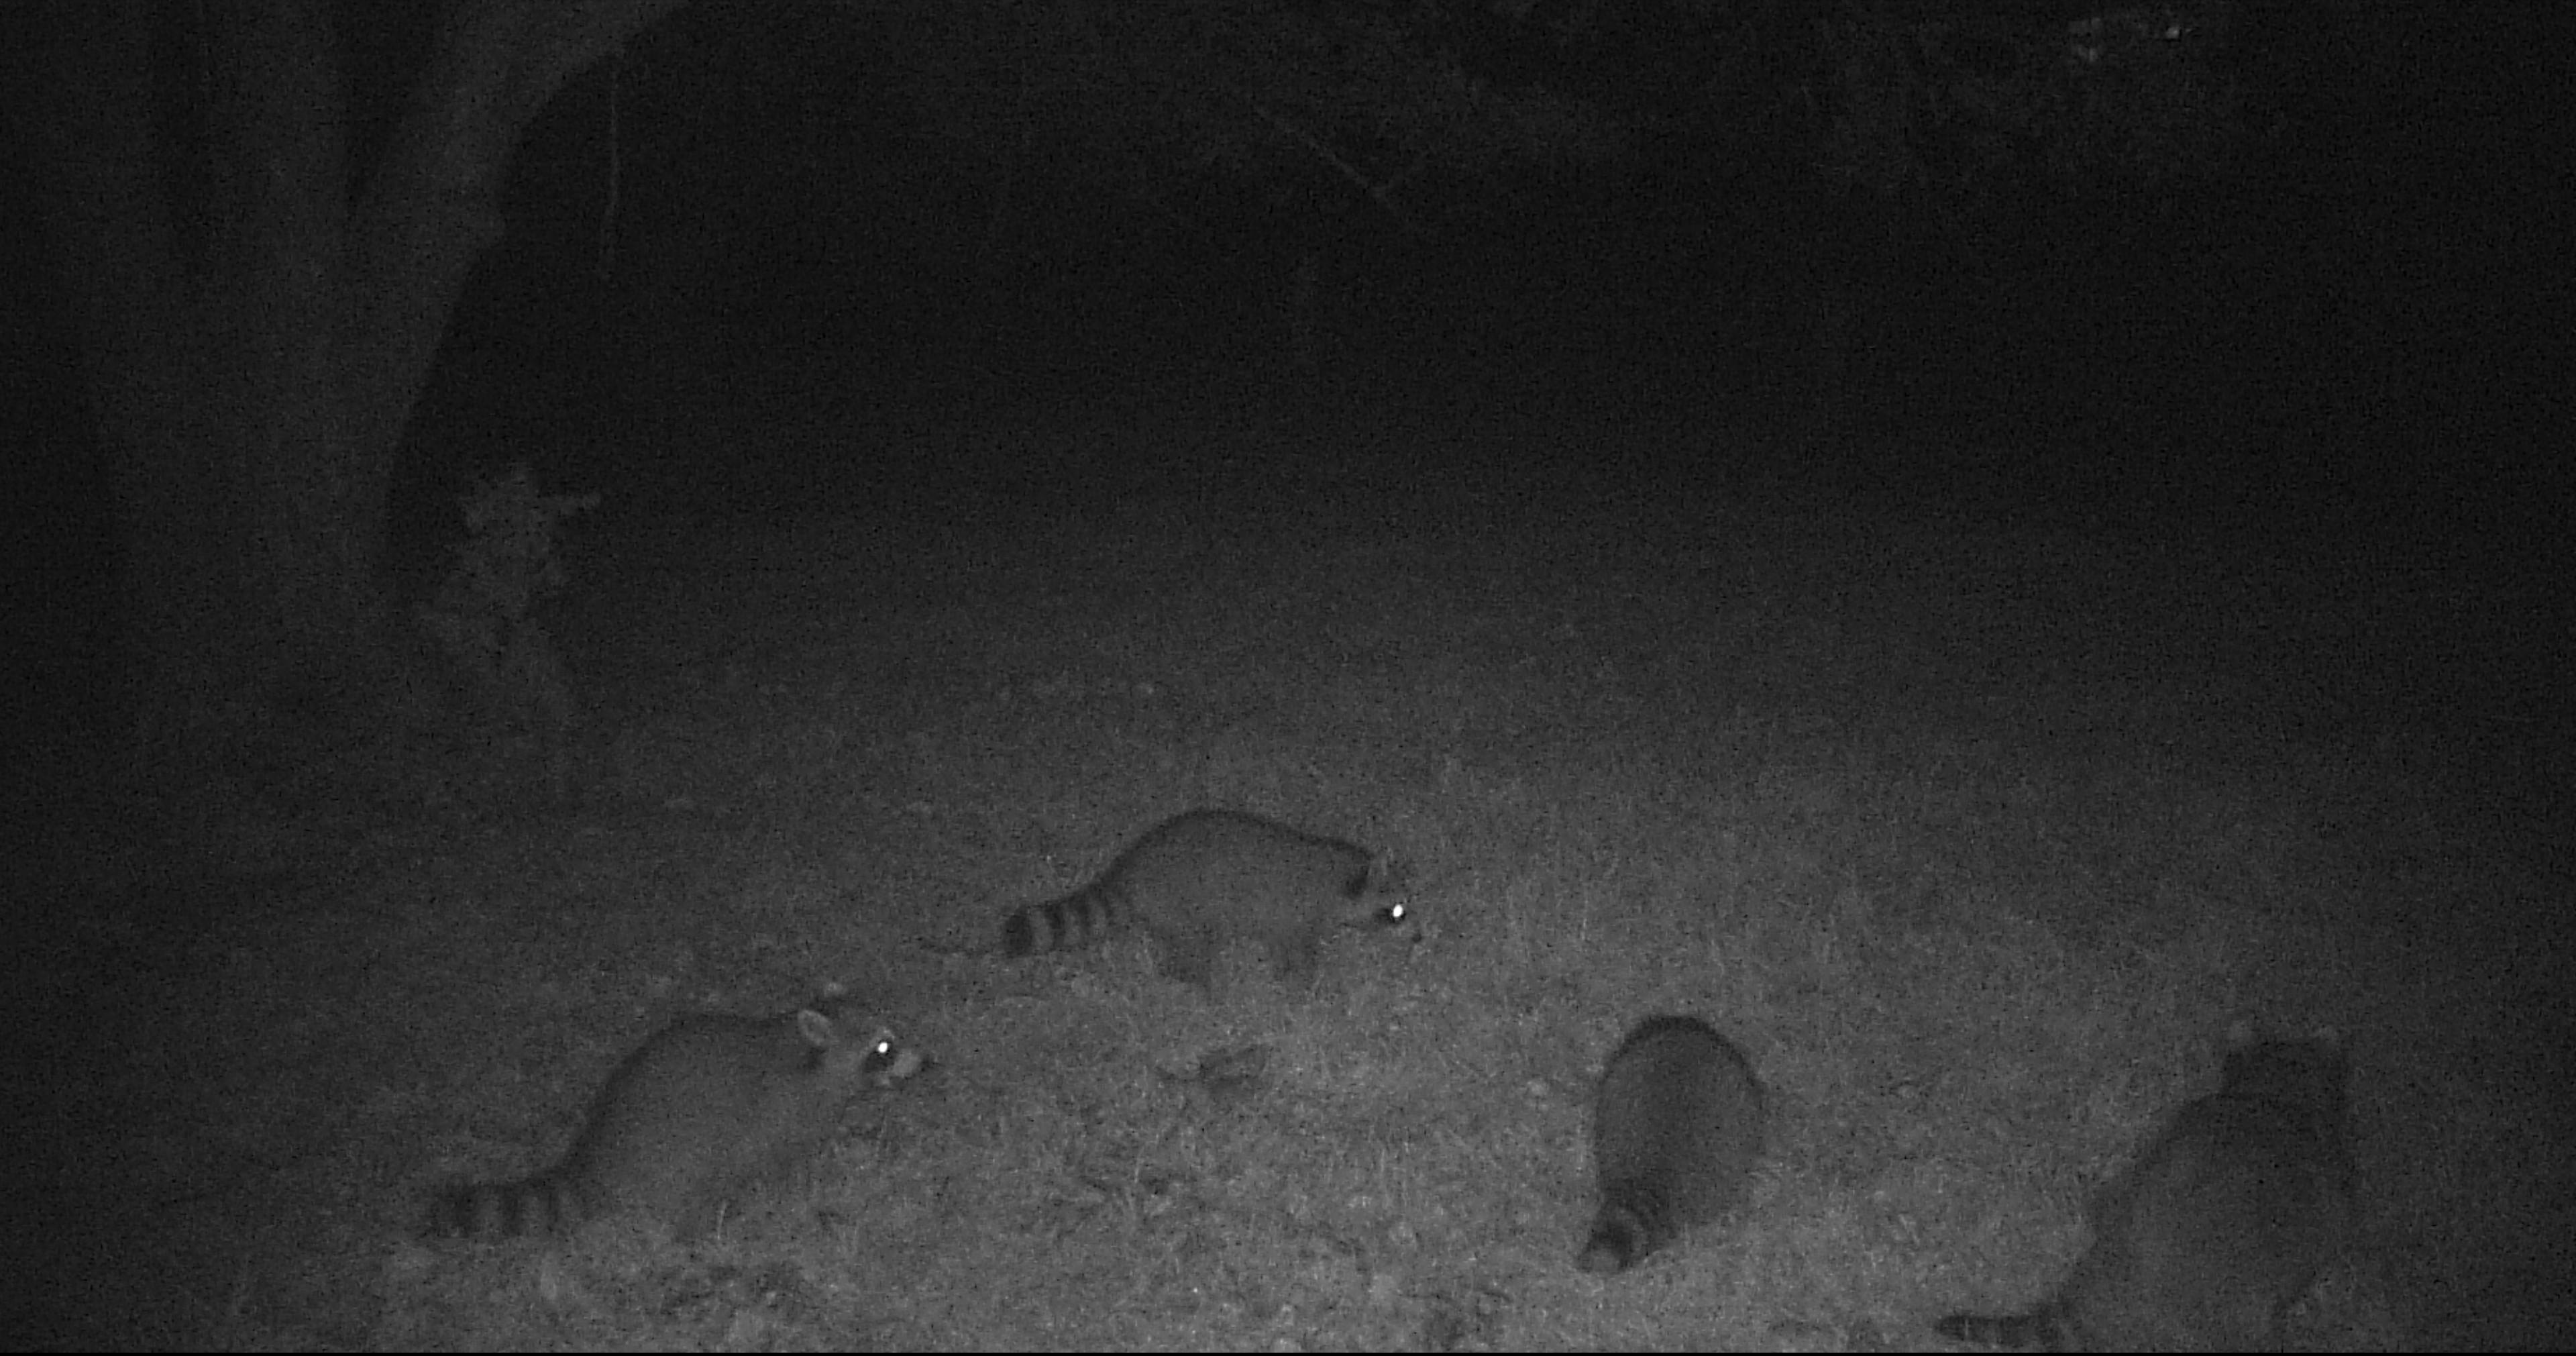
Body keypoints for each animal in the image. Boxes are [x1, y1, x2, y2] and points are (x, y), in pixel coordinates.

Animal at [433, 995, 927, 1247]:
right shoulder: (779, 1118)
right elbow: (779, 1161)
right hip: (671, 1164)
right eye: (884, 1048)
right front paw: (800, 1187)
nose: (927, 1061)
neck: (801, 1051)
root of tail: (591, 1160)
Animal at [999, 815, 1411, 995]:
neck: (1337, 876)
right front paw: (1303, 981)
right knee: (1197, 947)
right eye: (1397, 912)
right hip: (1183, 904)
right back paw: (1202, 984)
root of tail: (1129, 869)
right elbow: (1295, 951)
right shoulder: (1292, 914)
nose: (1419, 938)